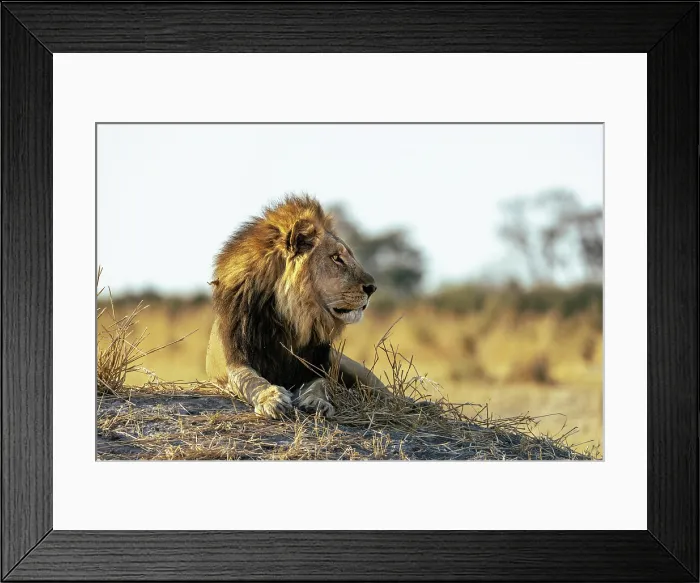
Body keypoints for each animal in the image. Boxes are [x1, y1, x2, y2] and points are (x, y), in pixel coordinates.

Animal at [206, 194, 390, 419]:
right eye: (336, 258)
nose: (372, 288)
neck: (291, 317)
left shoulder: (315, 368)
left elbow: (321, 385)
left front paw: (318, 402)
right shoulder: (236, 361)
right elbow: (251, 381)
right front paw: (272, 399)